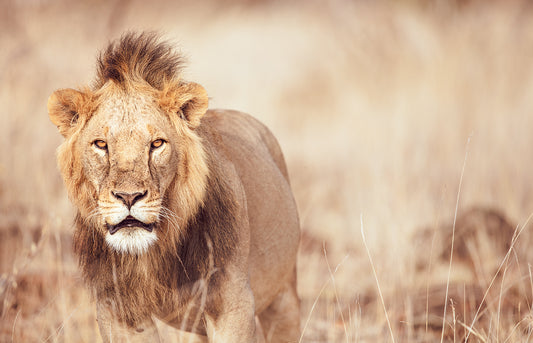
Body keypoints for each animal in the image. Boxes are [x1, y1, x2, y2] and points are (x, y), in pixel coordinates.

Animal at [46, 31, 300, 342]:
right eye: (101, 144)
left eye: (157, 144)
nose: (128, 197)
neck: (154, 253)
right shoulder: (118, 309)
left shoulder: (232, 303)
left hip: (284, 295)